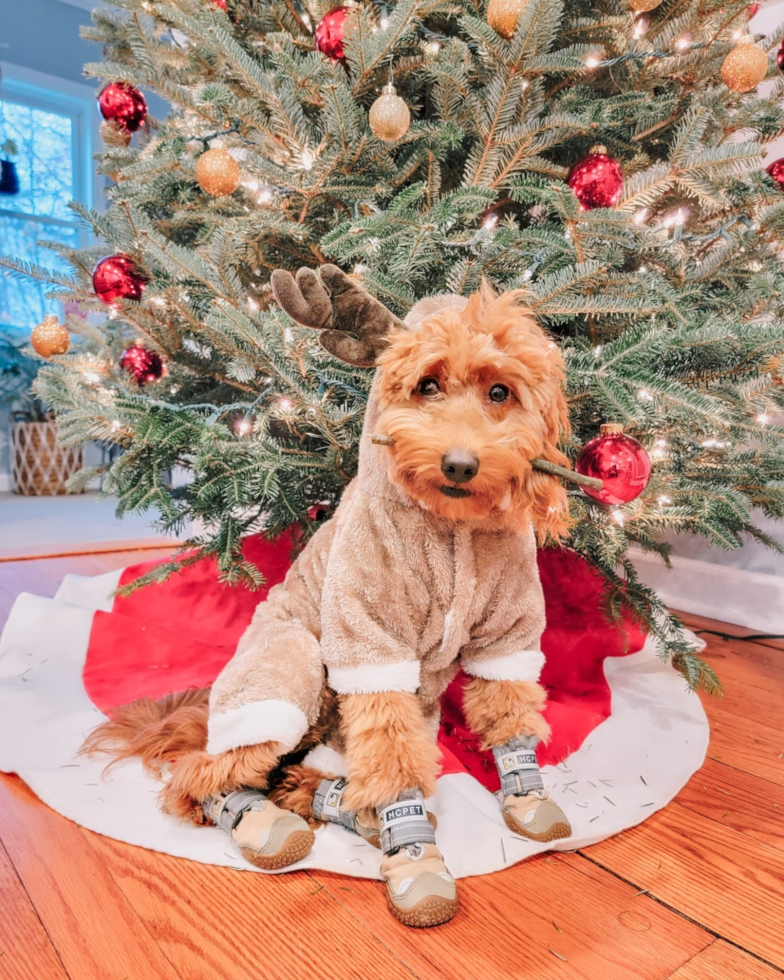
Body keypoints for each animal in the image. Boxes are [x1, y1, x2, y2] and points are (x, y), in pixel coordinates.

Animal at [86, 266, 576, 928]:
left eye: (500, 392)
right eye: (427, 385)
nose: (458, 463)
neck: (454, 529)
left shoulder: (510, 633)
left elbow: (511, 713)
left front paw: (525, 795)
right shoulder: (371, 646)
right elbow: (392, 760)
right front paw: (415, 858)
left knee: (312, 775)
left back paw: (328, 800)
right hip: (288, 670)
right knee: (203, 775)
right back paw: (260, 820)